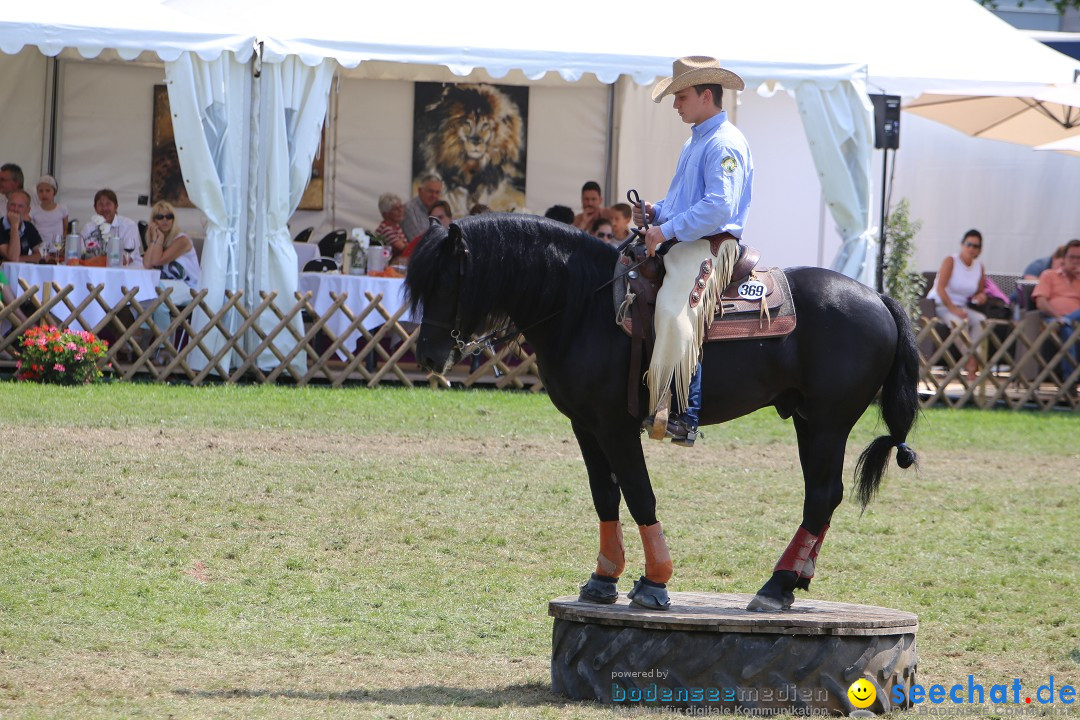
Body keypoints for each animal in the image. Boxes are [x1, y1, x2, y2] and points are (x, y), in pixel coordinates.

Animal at [406, 215, 920, 613]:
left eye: (448, 281)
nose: (428, 356)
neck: (583, 304)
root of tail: (879, 299)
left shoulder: (614, 425)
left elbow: (639, 495)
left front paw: (654, 582)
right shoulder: (584, 425)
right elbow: (605, 496)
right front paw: (604, 579)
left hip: (830, 422)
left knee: (823, 496)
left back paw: (776, 587)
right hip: (807, 421)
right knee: (822, 495)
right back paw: (794, 579)